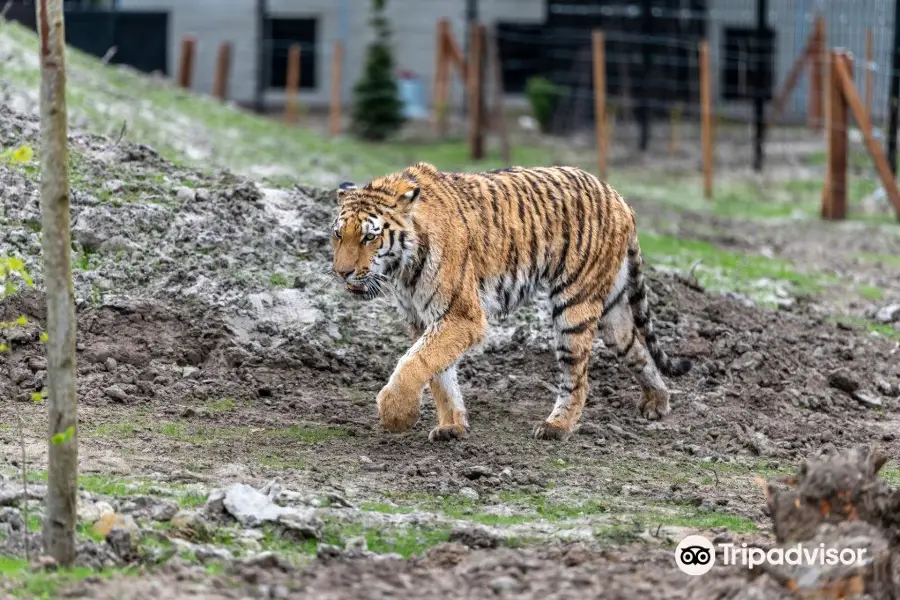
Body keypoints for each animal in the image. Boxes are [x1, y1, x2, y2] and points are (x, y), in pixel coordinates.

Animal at [330, 162, 688, 442]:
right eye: (338, 234)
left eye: (370, 236)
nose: (342, 272)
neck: (401, 269)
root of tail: (619, 197)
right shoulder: (422, 319)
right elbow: (438, 373)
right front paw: (452, 426)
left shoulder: (461, 315)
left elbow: (415, 362)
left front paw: (396, 414)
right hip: (611, 310)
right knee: (636, 348)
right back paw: (657, 402)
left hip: (574, 305)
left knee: (578, 377)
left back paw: (556, 427)